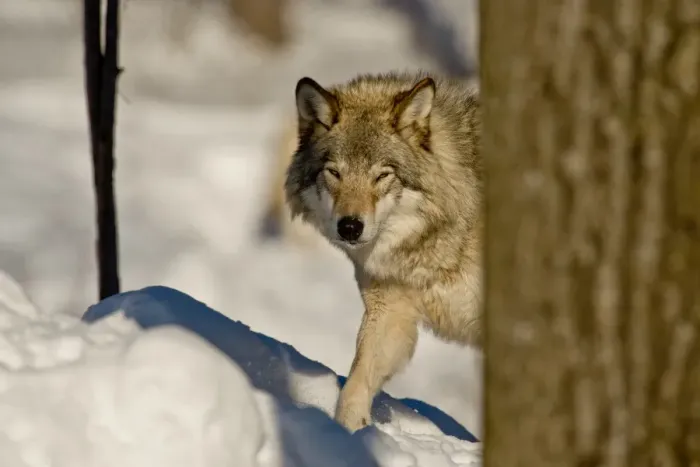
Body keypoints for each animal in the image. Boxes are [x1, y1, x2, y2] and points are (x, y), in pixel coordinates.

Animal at [284, 71, 482, 432]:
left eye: (382, 175)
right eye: (335, 172)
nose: (350, 227)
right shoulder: (388, 312)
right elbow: (355, 384)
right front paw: (347, 436)